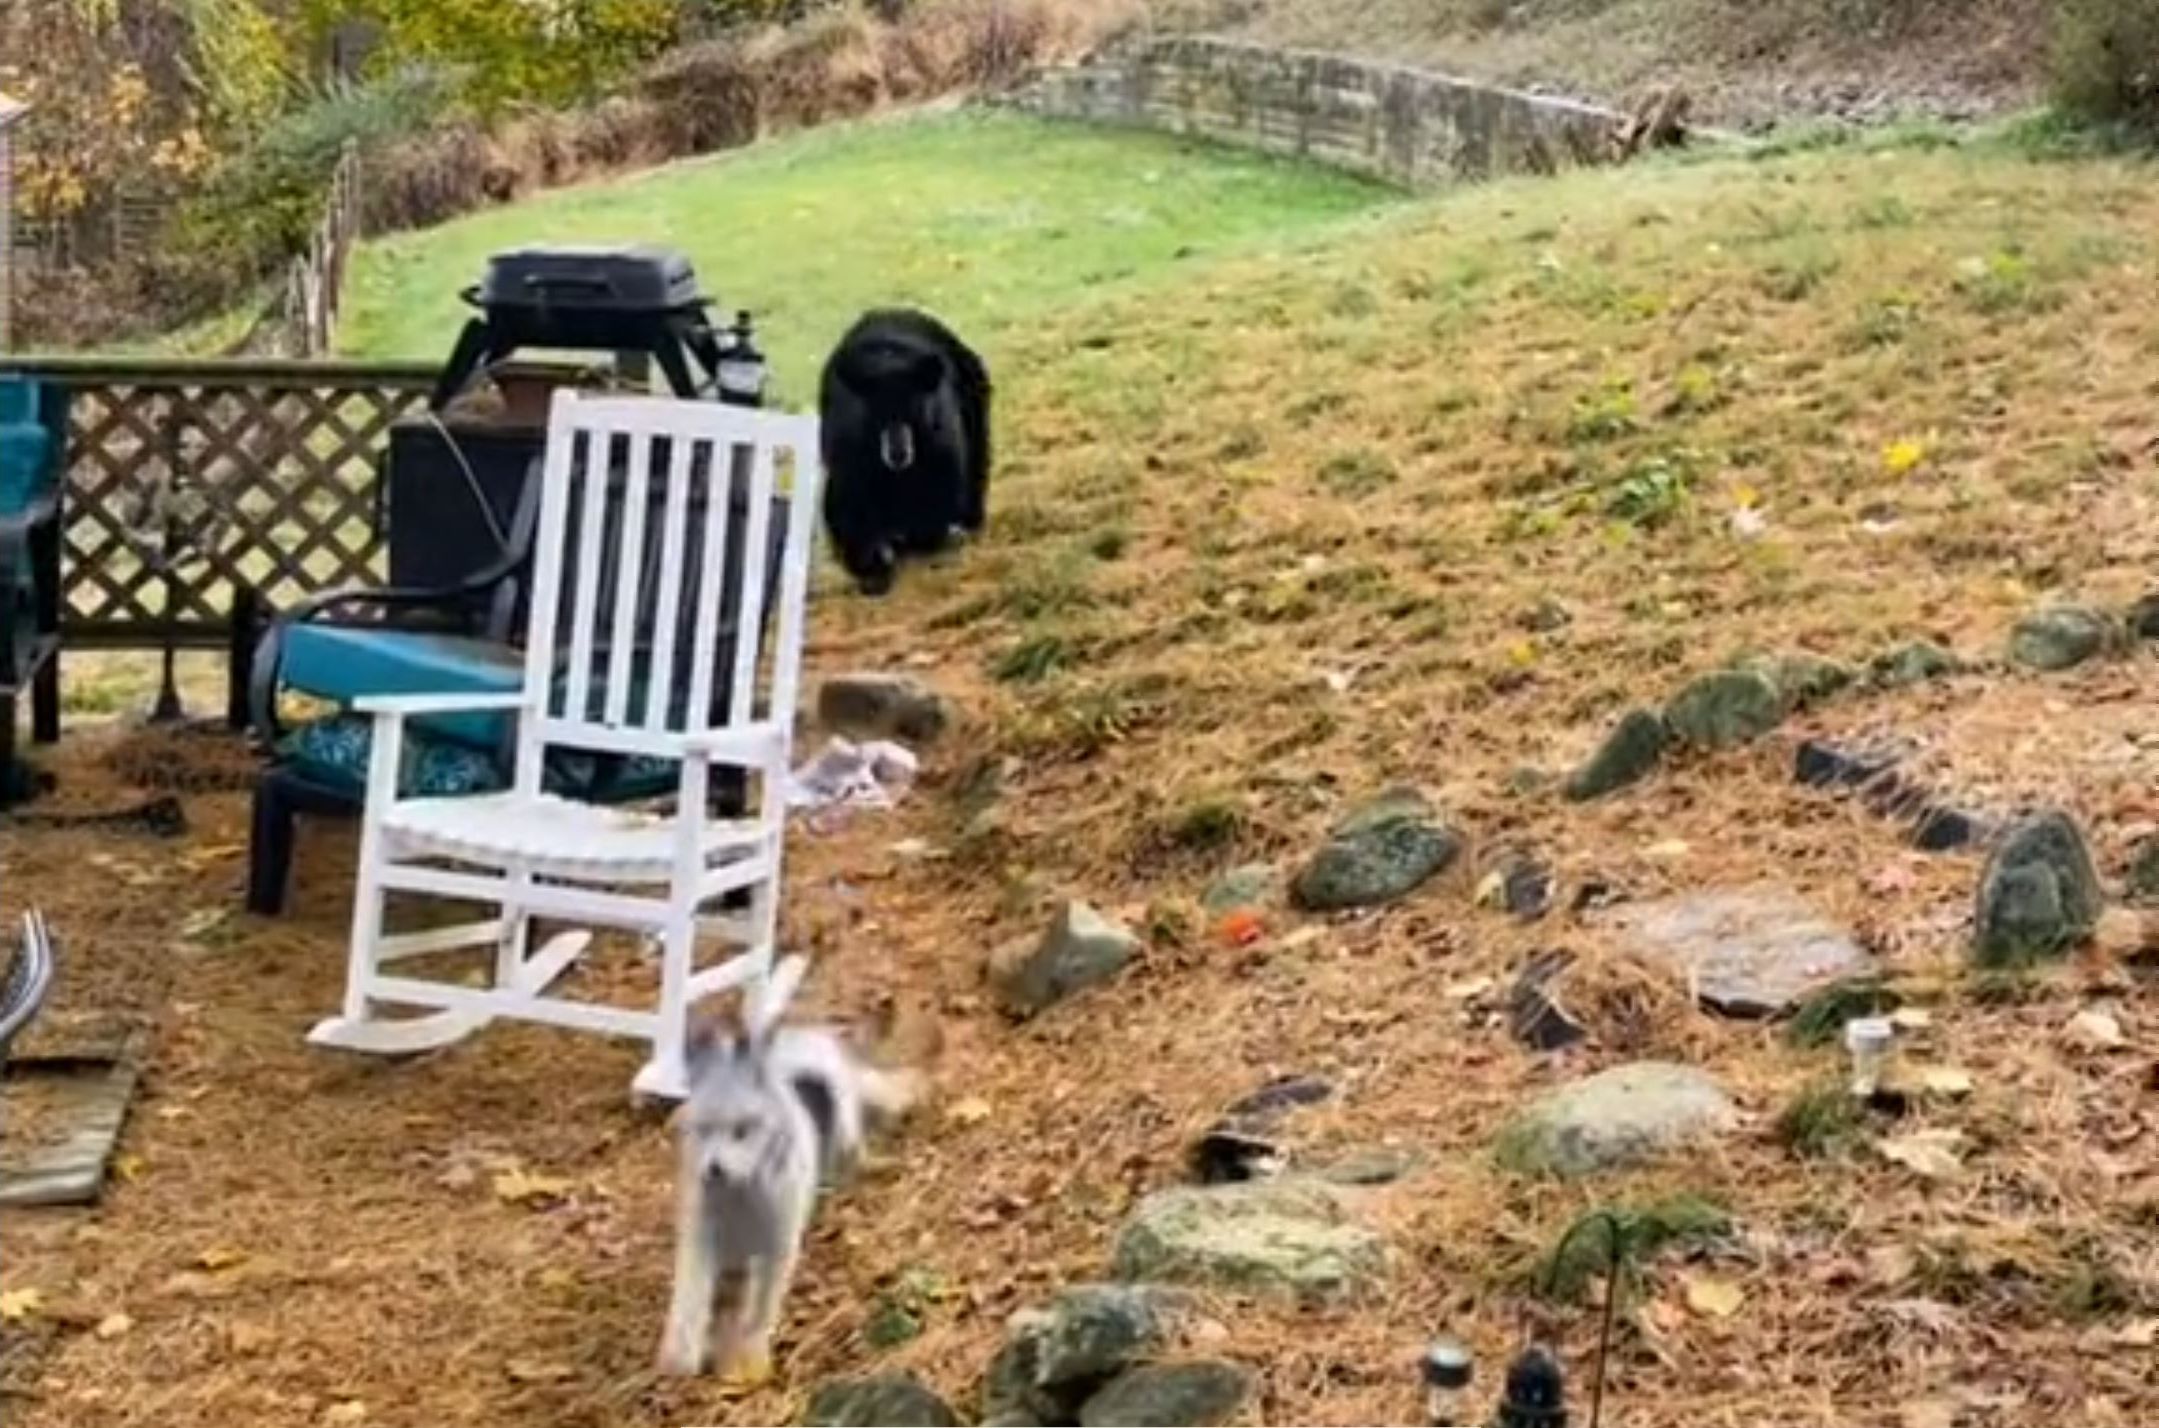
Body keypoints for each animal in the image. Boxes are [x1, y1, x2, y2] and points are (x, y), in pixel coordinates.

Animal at [647, 959, 919, 1382]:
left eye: (742, 1130)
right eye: (703, 1130)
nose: (714, 1170)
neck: (744, 1190)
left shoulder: (776, 1246)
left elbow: (760, 1304)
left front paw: (749, 1353)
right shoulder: (701, 1239)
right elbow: (690, 1296)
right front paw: (681, 1355)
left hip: (844, 1133)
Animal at [811, 306, 988, 596]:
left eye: (915, 410)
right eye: (874, 414)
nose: (898, 452)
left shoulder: (938, 439)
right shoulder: (849, 451)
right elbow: (852, 507)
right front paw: (874, 566)